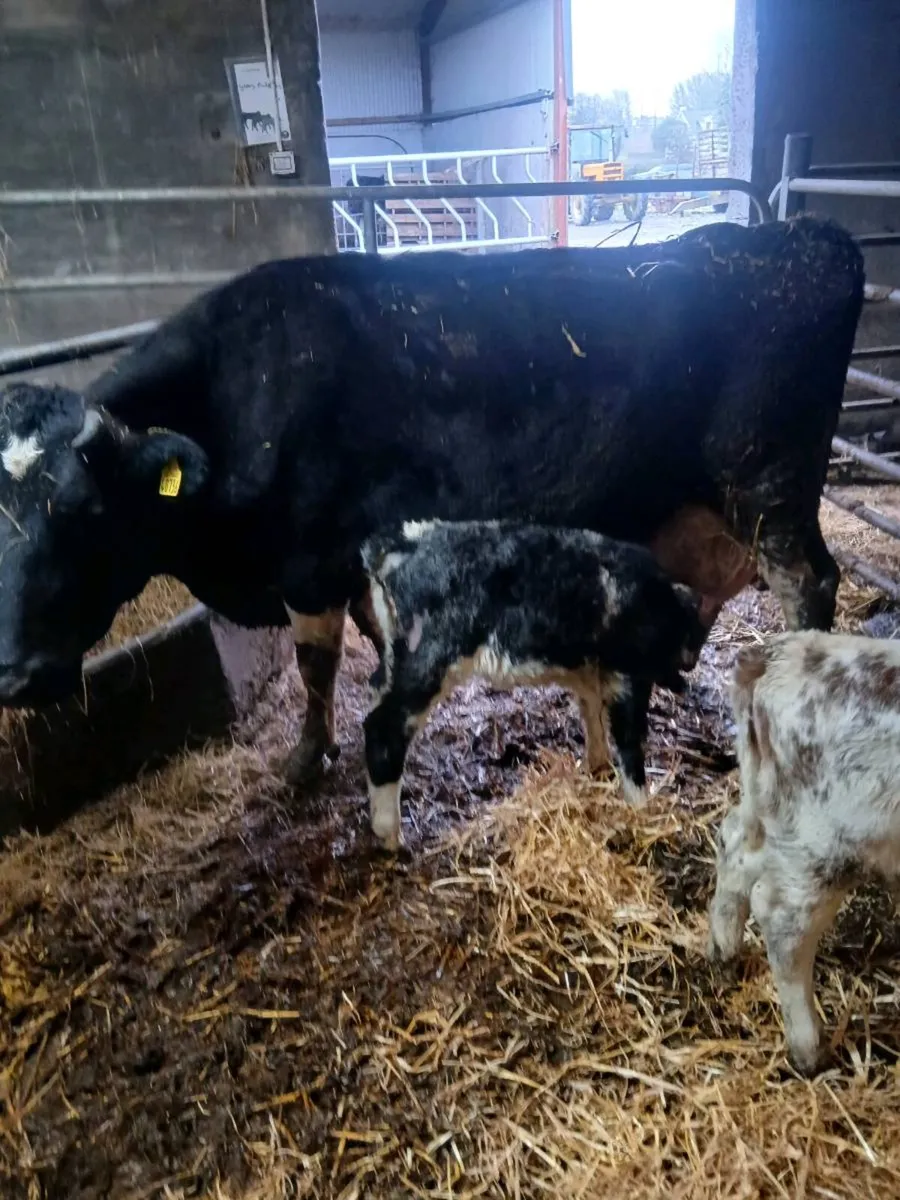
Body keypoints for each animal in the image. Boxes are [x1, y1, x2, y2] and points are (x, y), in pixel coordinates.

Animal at [0, 216, 864, 791]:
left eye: (82, 512)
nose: (16, 678)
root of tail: (801, 236)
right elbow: (371, 637)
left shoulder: (307, 560)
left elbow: (315, 667)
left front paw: (305, 759)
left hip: (769, 487)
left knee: (809, 584)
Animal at [359, 519, 709, 848]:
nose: (684, 676)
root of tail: (405, 541)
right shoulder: (629, 674)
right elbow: (629, 738)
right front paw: (641, 809)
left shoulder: (592, 670)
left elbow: (592, 712)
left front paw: (599, 768)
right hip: (431, 656)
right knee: (384, 726)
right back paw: (390, 834)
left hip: (396, 654)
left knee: (376, 694)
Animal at [708, 631, 900, 1075]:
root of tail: (774, 654)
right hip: (825, 843)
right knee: (784, 923)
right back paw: (809, 1051)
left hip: (774, 812)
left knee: (734, 841)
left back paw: (723, 948)